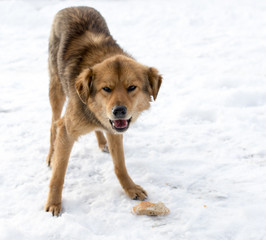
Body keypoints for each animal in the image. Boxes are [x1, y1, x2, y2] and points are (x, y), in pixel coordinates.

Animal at [44, 6, 161, 216]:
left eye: (132, 87)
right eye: (106, 89)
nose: (119, 111)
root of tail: (72, 6)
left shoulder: (115, 130)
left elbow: (120, 165)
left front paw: (130, 188)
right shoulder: (66, 131)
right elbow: (58, 174)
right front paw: (54, 203)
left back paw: (101, 141)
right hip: (56, 88)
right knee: (53, 124)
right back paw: (51, 154)